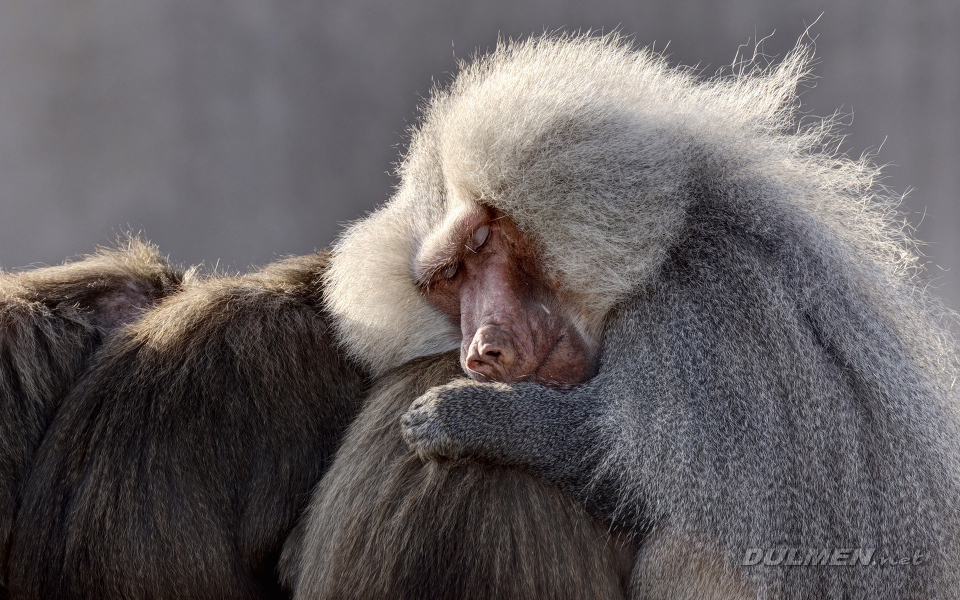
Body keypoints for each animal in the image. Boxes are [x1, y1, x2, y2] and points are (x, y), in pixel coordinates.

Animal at [319, 34, 960, 599]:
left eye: (481, 241)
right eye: (448, 278)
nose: (480, 351)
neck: (667, 248)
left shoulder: (695, 321)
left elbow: (623, 466)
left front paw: (461, 415)